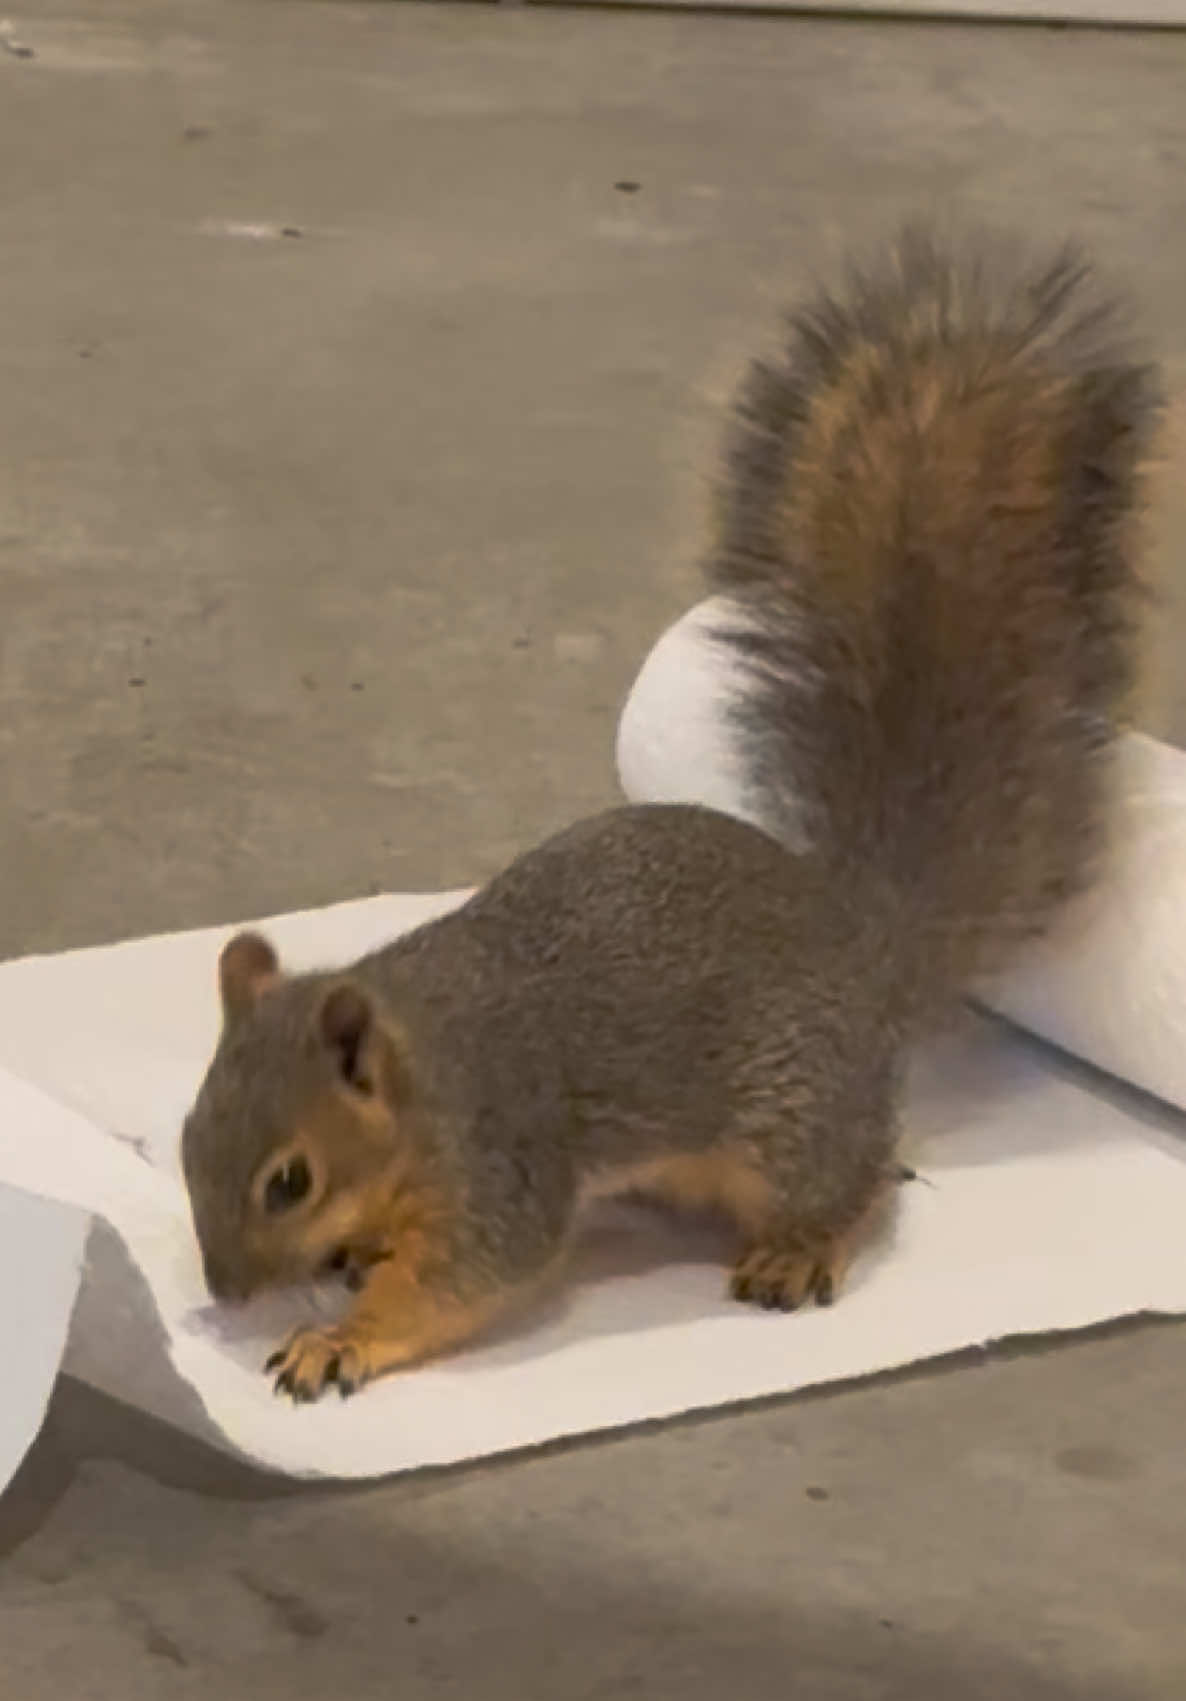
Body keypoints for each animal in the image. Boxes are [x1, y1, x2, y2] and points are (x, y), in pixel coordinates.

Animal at [181, 228, 1160, 1402]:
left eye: (289, 1181)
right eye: (188, 1130)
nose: (225, 1292)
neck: (420, 1076)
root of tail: (864, 946)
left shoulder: (499, 1161)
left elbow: (464, 1279)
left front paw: (340, 1338)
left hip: (792, 1118)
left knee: (863, 1178)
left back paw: (803, 1245)